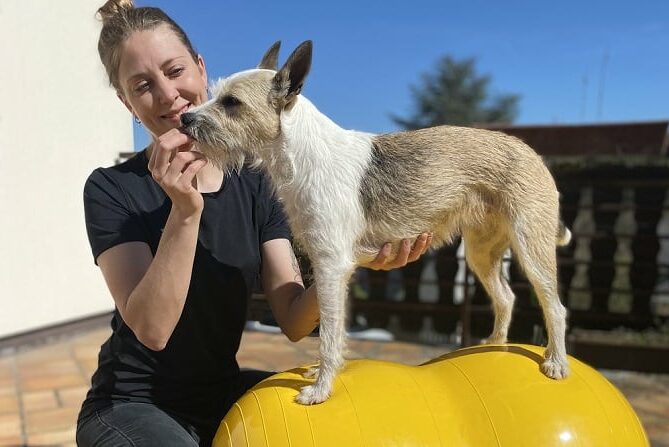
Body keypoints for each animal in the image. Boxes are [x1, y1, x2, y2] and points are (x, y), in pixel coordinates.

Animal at [180, 42, 572, 406]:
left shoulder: (331, 267)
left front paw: (320, 389)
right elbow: (336, 331)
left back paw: (556, 362)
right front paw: (324, 375)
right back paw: (493, 346)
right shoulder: (337, 270)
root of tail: (532, 153)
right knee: (506, 297)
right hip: (480, 253)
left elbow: (329, 335)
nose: (185, 119)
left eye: (231, 102)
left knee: (554, 305)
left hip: (531, 249)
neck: (302, 154)